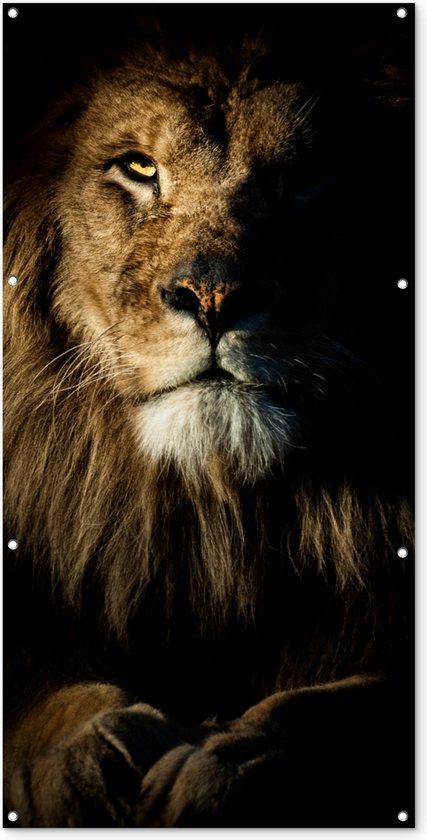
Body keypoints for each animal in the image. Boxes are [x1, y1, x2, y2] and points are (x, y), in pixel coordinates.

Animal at [3, 6, 414, 828]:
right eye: (137, 167)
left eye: (304, 177)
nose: (216, 297)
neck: (209, 519)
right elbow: (41, 692)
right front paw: (86, 755)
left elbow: (335, 708)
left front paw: (230, 766)